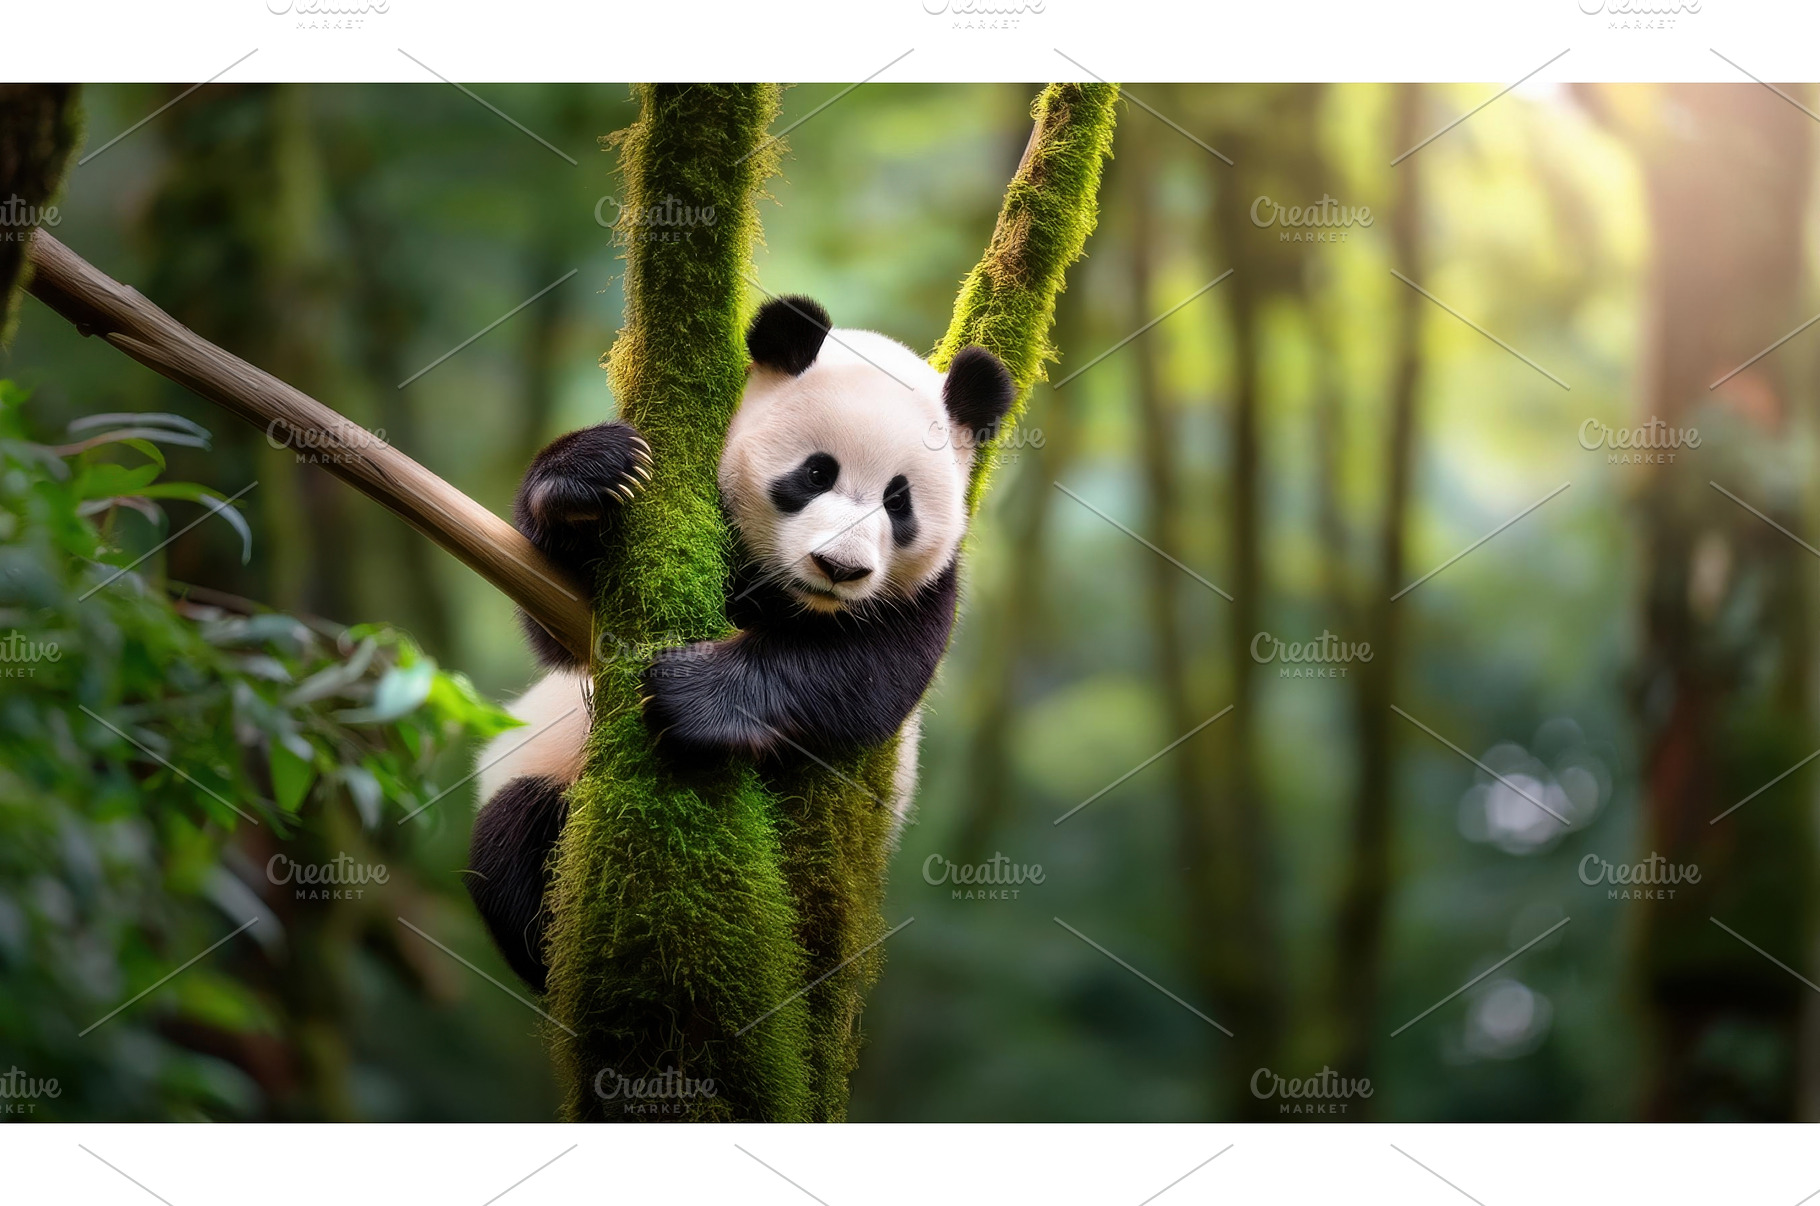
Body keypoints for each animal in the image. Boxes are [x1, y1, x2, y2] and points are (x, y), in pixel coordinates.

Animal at [465, 295, 1016, 991]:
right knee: (511, 837)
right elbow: (558, 624)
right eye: (816, 473)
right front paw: (591, 477)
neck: (790, 597)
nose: (839, 568)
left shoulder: (929, 591)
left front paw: (690, 695)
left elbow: (865, 673)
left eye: (899, 501)